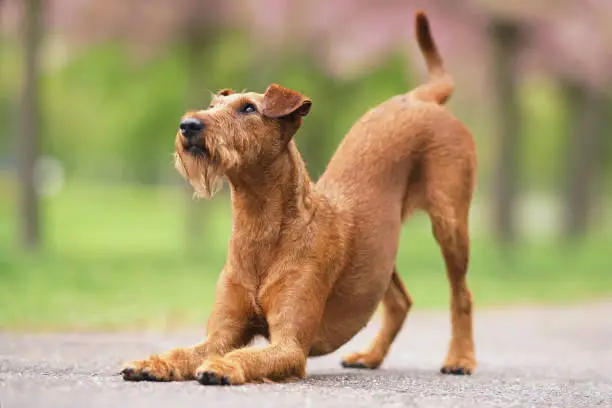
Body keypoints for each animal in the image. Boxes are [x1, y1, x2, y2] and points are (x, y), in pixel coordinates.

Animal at [120, 11, 474, 384]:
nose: (188, 124)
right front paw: (153, 362)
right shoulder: (221, 333)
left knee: (461, 296)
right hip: (381, 252)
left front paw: (223, 366)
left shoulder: (290, 345)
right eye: (212, 105)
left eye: (249, 108)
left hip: (450, 222)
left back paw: (460, 358)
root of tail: (418, 97)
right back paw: (370, 356)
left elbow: (247, 356)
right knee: (399, 301)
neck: (258, 224)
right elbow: (184, 351)